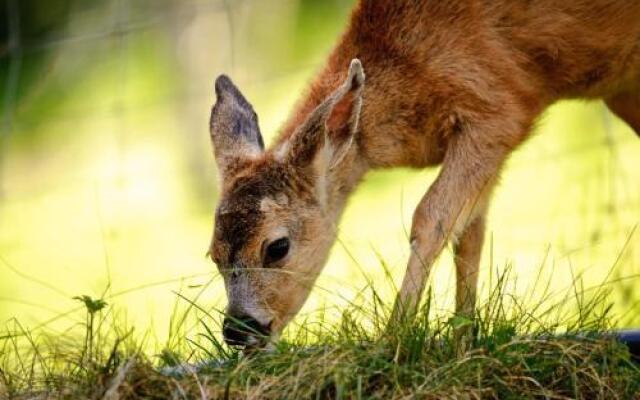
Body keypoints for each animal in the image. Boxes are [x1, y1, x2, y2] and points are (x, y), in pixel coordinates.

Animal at [208, 0, 636, 348]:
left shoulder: (499, 110)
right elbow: (470, 233)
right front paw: (464, 343)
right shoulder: (490, 143)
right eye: (213, 254)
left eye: (277, 246)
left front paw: (393, 340)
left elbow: (431, 218)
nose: (238, 331)